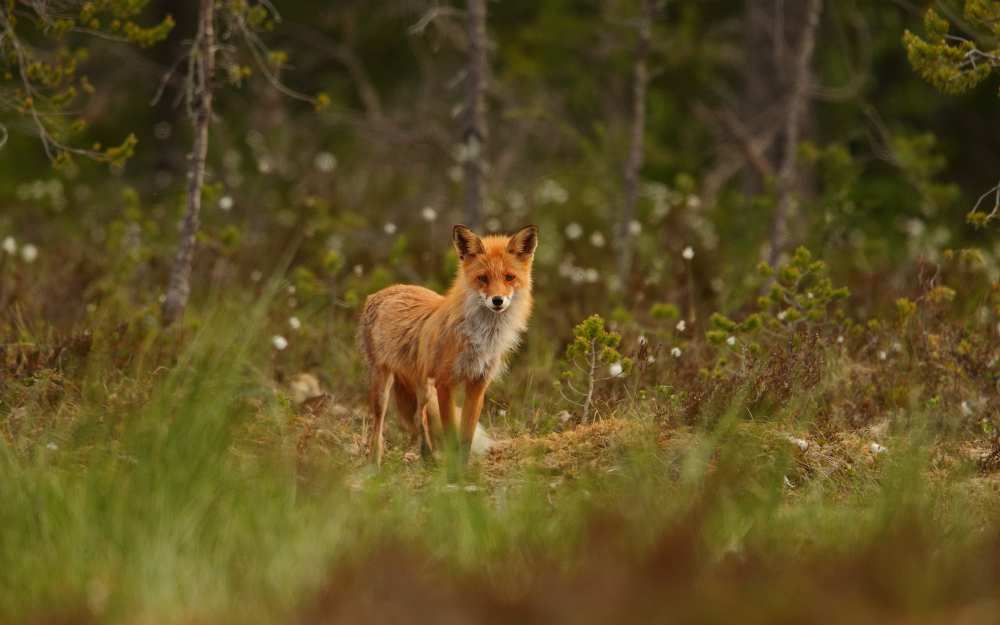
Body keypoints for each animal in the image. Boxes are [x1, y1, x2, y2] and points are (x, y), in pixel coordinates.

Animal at [356, 223, 536, 464]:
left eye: (509, 277)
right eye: (483, 278)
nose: (497, 300)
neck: (481, 338)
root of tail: (385, 290)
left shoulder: (478, 383)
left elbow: (466, 437)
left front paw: (462, 469)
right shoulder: (445, 383)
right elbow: (451, 434)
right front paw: (452, 470)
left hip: (423, 387)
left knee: (420, 417)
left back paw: (427, 459)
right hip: (382, 386)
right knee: (378, 430)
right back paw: (375, 466)